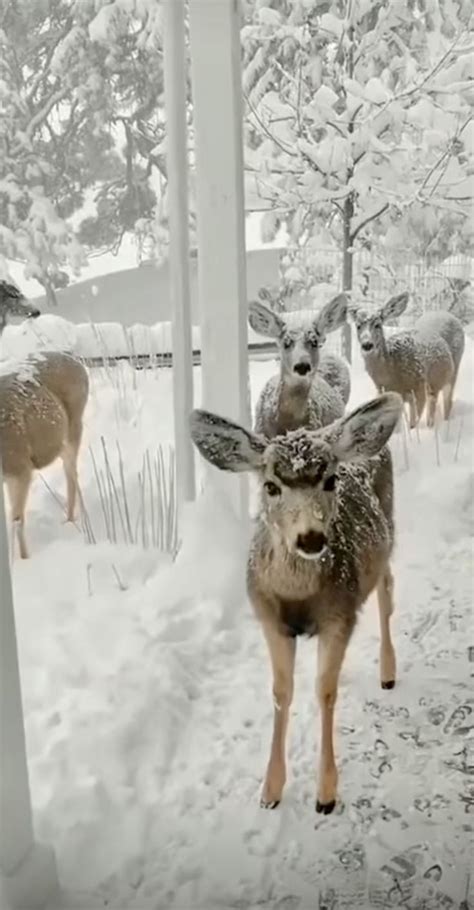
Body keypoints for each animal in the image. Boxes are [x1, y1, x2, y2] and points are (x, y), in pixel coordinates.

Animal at [0, 350, 89, 560]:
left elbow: (17, 520)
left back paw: (71, 520)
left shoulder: (20, 467)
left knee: (71, 473)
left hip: (74, 425)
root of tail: (74, 359)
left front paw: (24, 560)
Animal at [190, 390, 404, 812]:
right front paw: (270, 791)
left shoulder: (339, 614)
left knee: (386, 590)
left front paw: (326, 794)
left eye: (331, 479)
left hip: (388, 530)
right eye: (271, 486)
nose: (311, 538)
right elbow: (281, 691)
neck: (299, 597)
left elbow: (324, 692)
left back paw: (388, 672)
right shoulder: (269, 618)